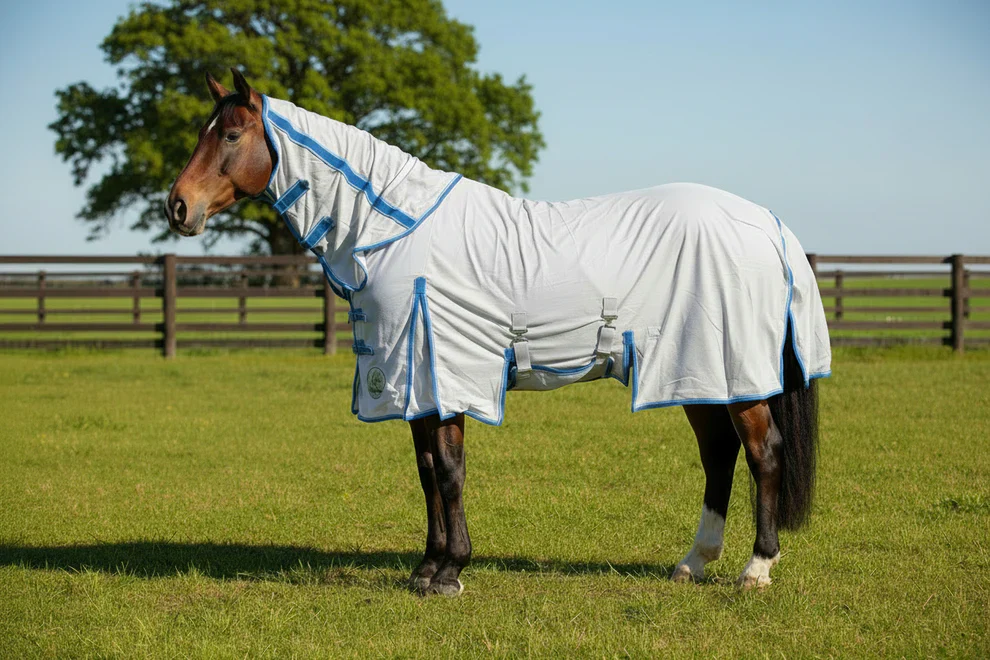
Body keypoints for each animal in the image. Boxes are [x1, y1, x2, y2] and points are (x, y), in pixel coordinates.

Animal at [166, 69, 831, 596]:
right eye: (204, 132)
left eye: (230, 135)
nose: (177, 207)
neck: (393, 228)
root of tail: (767, 223)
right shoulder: (415, 382)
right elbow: (427, 472)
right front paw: (426, 568)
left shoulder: (444, 373)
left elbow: (449, 470)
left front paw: (450, 573)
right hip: (693, 372)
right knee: (718, 455)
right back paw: (693, 562)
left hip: (730, 372)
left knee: (763, 453)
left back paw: (756, 569)